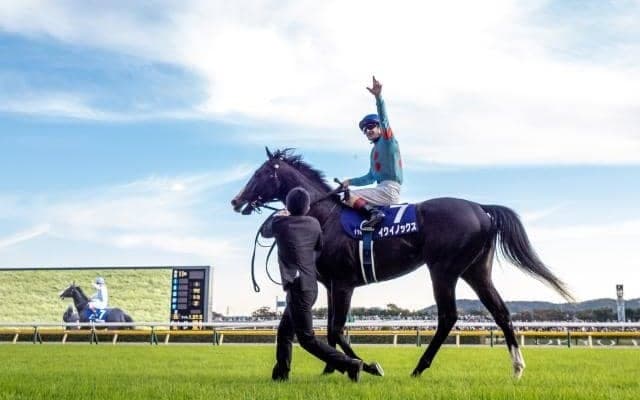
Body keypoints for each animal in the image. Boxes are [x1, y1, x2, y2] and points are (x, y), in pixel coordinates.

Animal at [231, 148, 574, 379]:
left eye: (260, 174)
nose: (236, 200)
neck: (324, 218)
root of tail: (480, 207)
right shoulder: (330, 285)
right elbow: (328, 331)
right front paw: (333, 367)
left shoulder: (342, 284)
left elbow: (336, 330)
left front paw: (364, 366)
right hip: (476, 271)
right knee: (500, 312)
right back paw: (517, 368)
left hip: (443, 269)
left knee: (448, 316)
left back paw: (419, 368)